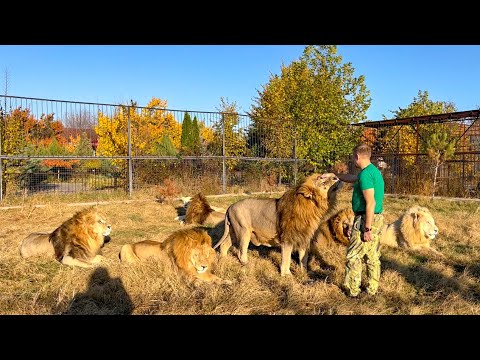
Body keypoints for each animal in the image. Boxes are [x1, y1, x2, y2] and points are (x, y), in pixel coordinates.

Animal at [214, 174, 342, 276]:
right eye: (322, 178)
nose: (336, 177)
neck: (312, 207)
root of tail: (230, 206)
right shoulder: (287, 239)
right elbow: (286, 258)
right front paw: (286, 275)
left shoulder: (304, 238)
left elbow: (303, 258)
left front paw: (304, 272)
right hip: (243, 231)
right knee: (241, 252)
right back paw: (247, 265)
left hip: (233, 231)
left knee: (224, 244)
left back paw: (224, 259)